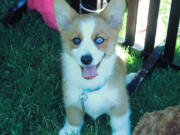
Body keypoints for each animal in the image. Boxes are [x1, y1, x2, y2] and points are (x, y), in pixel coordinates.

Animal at [52, 0, 130, 134]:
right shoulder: (72, 102)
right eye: (76, 40)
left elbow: (119, 125)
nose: (86, 59)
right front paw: (69, 130)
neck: (92, 85)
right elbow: (74, 120)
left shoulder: (120, 106)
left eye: (99, 40)